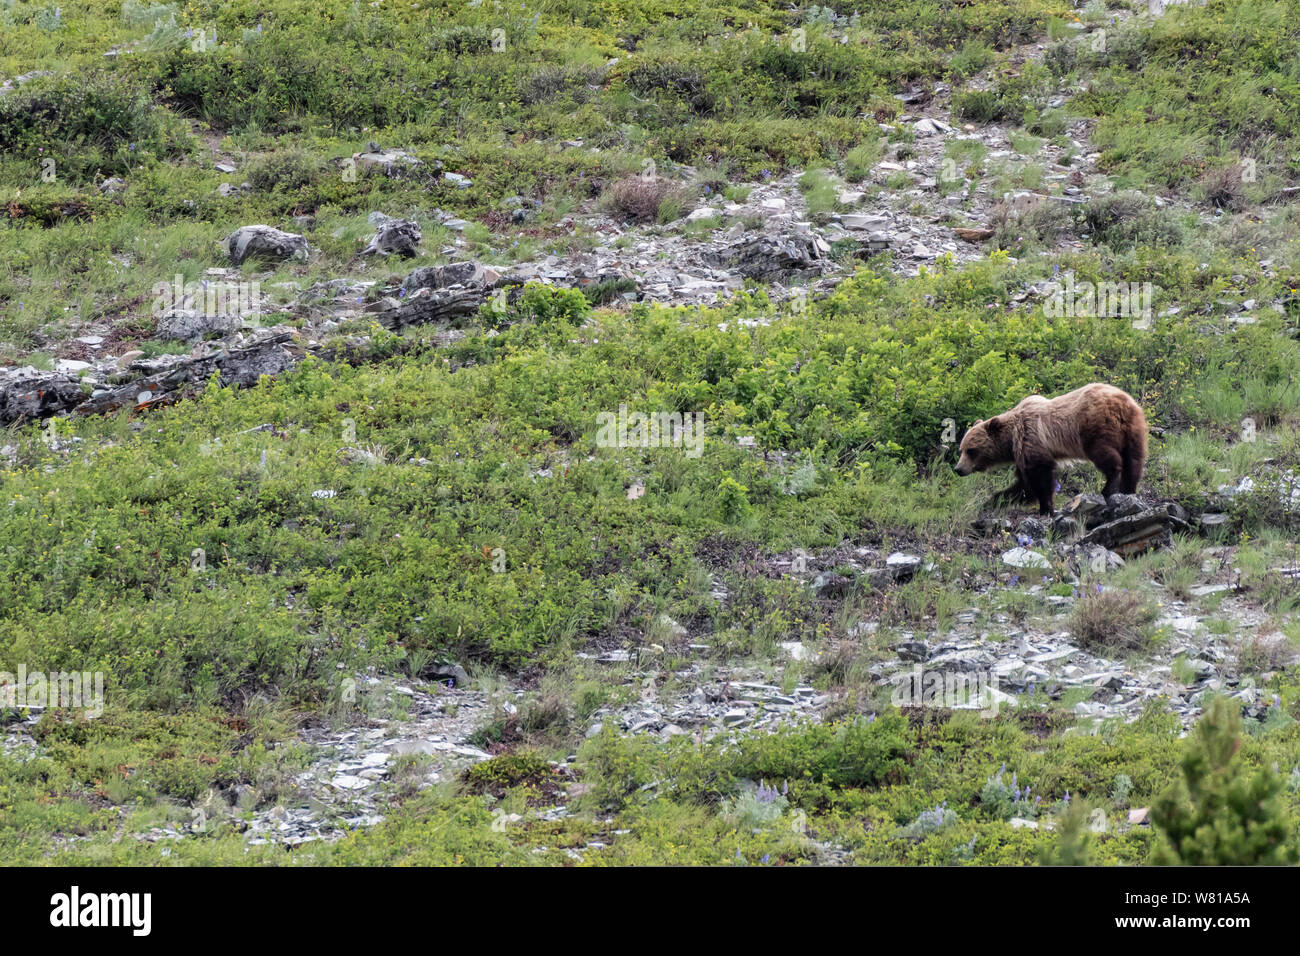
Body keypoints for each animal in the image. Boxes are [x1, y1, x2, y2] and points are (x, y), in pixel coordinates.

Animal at [956, 382, 1149, 520]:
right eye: (961, 450)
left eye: (971, 451)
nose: (959, 469)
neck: (1011, 439)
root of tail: (1122, 403)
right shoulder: (1023, 453)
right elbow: (1024, 485)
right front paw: (993, 501)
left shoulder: (1031, 440)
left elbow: (1040, 477)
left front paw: (1046, 508)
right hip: (1134, 428)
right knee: (1134, 460)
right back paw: (1128, 489)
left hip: (1095, 427)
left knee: (1106, 455)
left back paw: (1109, 486)